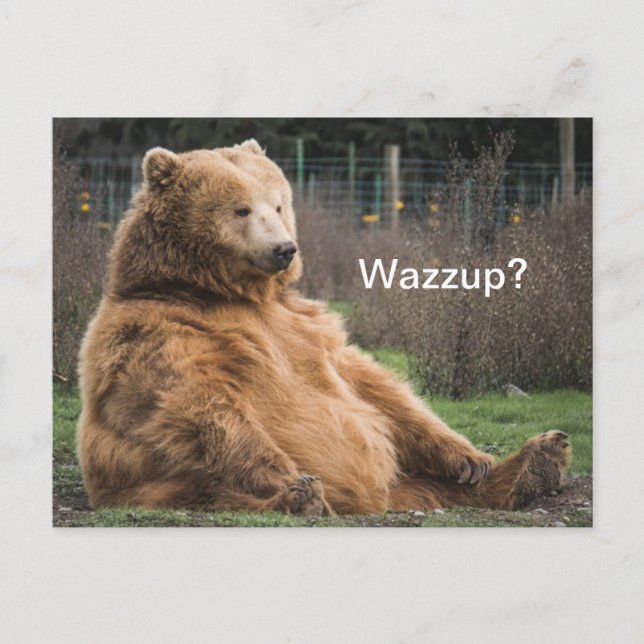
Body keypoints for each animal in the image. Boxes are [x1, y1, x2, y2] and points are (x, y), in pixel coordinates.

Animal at [76, 139, 569, 516]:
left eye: (278, 204)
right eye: (241, 209)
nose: (284, 248)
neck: (223, 292)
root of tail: (375, 501)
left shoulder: (305, 327)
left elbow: (373, 386)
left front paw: (470, 458)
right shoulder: (159, 333)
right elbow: (199, 404)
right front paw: (291, 479)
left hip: (406, 480)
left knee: (435, 485)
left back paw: (535, 462)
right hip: (157, 482)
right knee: (211, 490)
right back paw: (300, 498)